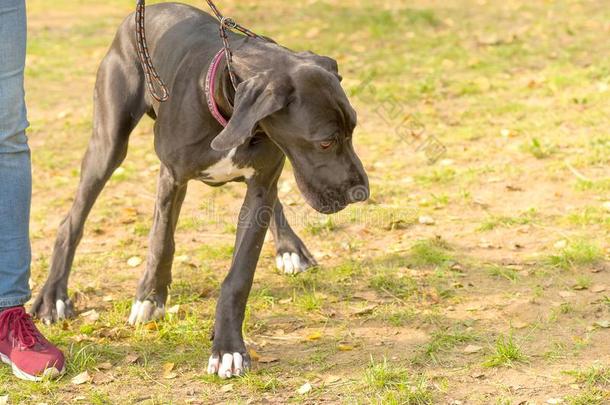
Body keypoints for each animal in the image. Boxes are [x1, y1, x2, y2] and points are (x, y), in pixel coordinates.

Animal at [29, 1, 366, 378]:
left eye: (353, 129)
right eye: (325, 142)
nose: (361, 192)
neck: (229, 106)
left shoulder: (261, 185)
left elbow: (239, 274)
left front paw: (228, 348)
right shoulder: (172, 176)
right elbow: (161, 240)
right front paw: (150, 297)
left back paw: (290, 248)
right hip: (108, 144)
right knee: (72, 220)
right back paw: (54, 296)